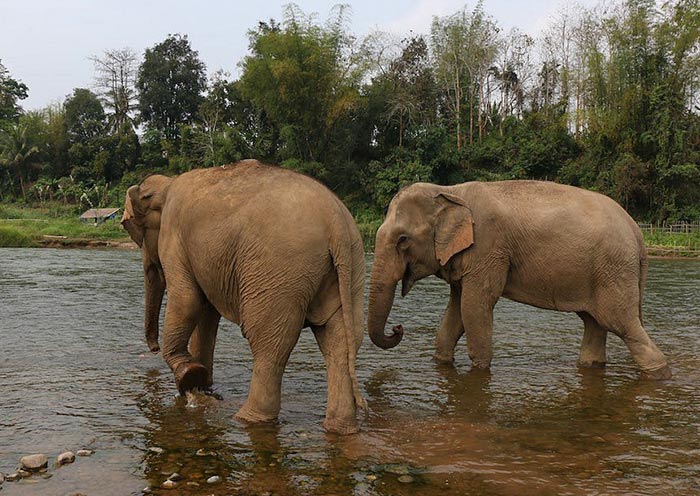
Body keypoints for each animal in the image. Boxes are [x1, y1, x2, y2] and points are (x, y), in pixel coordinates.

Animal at [121, 159, 366, 434]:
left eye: (134, 229)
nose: (153, 348)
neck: (167, 183)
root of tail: (336, 224)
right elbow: (206, 312)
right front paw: (201, 383)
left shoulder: (174, 235)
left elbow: (188, 299)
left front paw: (190, 375)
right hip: (350, 268)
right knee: (339, 341)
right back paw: (340, 428)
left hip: (277, 271)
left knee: (268, 343)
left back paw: (246, 419)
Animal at [367, 180, 672, 380]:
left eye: (402, 240)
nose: (397, 328)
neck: (451, 191)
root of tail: (637, 232)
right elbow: (454, 315)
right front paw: (442, 363)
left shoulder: (488, 249)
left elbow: (475, 307)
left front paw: (479, 371)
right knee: (594, 323)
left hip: (614, 270)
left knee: (621, 324)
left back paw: (659, 371)